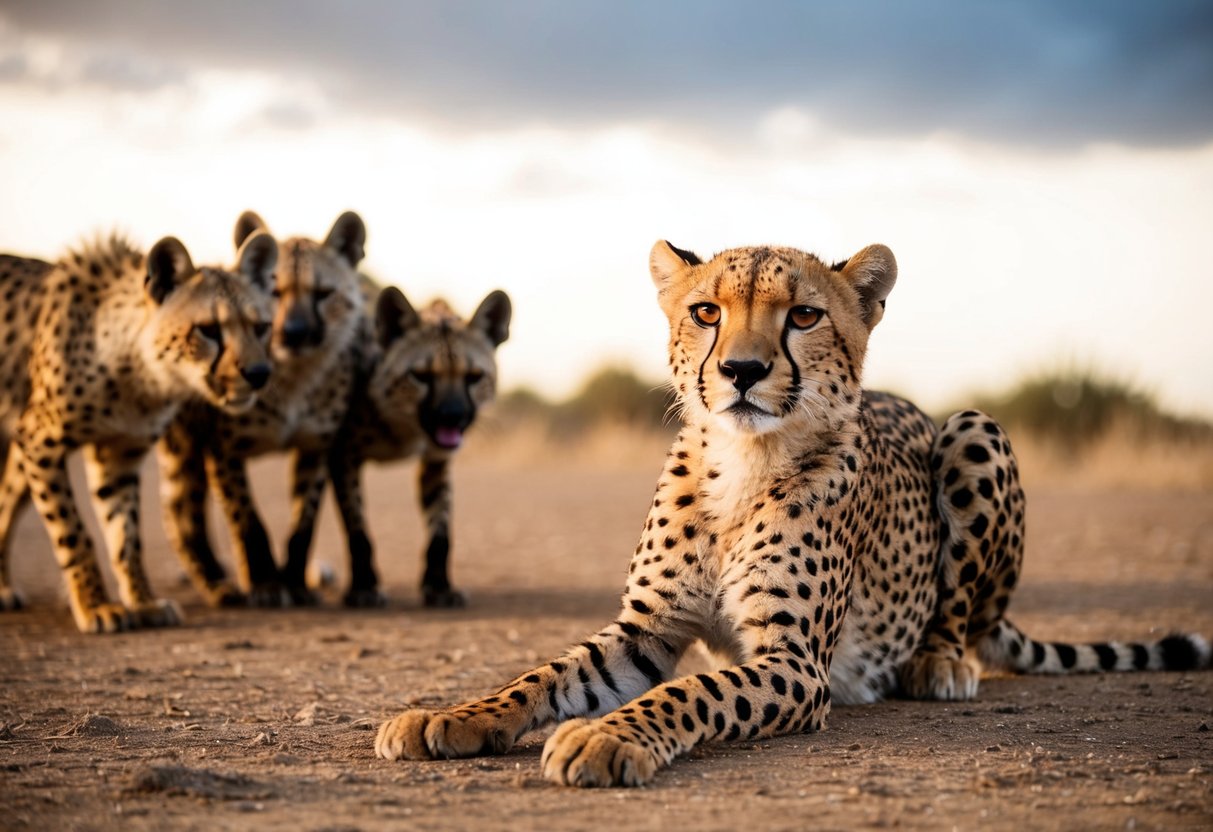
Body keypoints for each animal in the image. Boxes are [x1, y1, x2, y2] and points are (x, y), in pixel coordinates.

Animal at [0, 232, 277, 632]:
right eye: (208, 330)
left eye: (261, 327)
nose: (258, 373)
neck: (141, 377)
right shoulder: (39, 439)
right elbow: (72, 530)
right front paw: (97, 606)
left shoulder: (118, 454)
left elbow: (126, 536)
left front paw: (143, 602)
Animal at [158, 210, 369, 607]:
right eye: (274, 292)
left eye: (322, 294)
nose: (295, 331)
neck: (292, 381)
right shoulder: (224, 449)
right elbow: (247, 521)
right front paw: (267, 585)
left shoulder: (314, 446)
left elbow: (303, 522)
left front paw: (295, 583)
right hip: (183, 448)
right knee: (182, 515)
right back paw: (217, 582)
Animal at [374, 239, 1210, 787]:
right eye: (705, 311)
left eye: (803, 316)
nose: (742, 370)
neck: (740, 464)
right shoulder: (647, 630)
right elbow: (539, 675)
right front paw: (448, 715)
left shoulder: (794, 663)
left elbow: (689, 692)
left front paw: (606, 738)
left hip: (974, 430)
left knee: (960, 615)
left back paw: (939, 662)